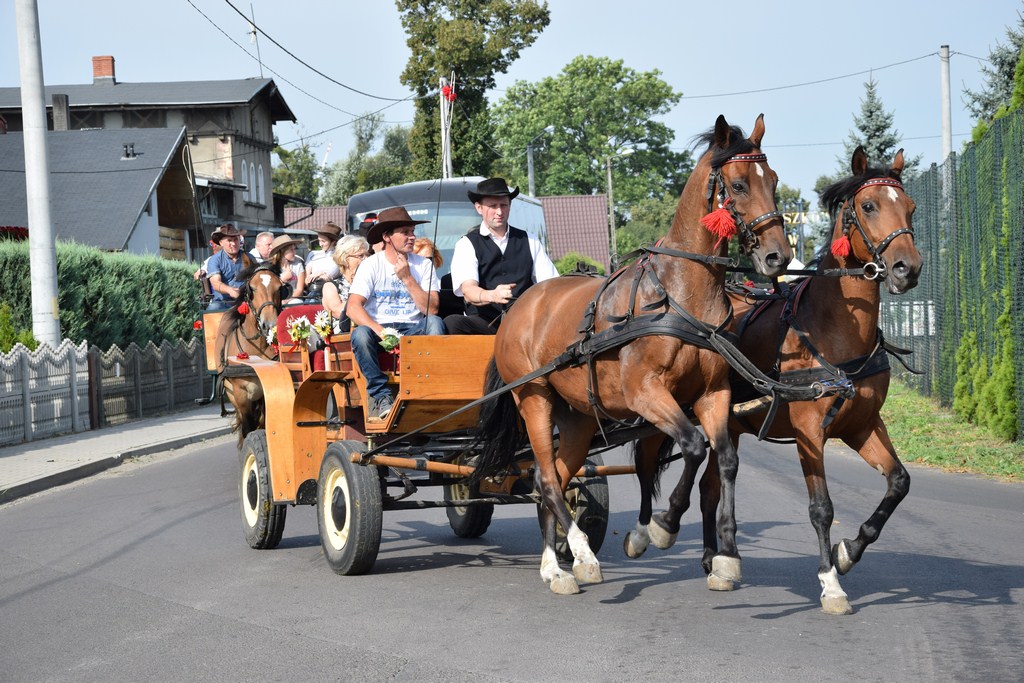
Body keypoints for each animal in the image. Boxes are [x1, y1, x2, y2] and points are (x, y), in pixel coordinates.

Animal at [211, 260, 284, 444]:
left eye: (280, 287)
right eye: (252, 288)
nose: (269, 324)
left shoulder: (269, 393)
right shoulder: (242, 395)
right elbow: (248, 428)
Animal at [471, 113, 790, 593]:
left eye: (772, 180)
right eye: (737, 185)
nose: (778, 257)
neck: (679, 295)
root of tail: (517, 307)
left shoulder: (713, 395)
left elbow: (725, 460)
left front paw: (727, 557)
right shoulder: (646, 393)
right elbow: (692, 447)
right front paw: (661, 527)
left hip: (578, 419)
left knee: (555, 478)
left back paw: (553, 565)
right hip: (534, 401)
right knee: (545, 477)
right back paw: (579, 557)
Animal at [626, 147, 925, 618]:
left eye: (910, 207)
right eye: (868, 206)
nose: (906, 268)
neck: (833, 330)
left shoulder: (862, 425)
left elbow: (899, 483)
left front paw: (848, 551)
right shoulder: (808, 432)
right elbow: (821, 508)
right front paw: (830, 583)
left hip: (726, 423)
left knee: (710, 487)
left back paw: (717, 560)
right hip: (664, 408)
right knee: (647, 465)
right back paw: (650, 531)